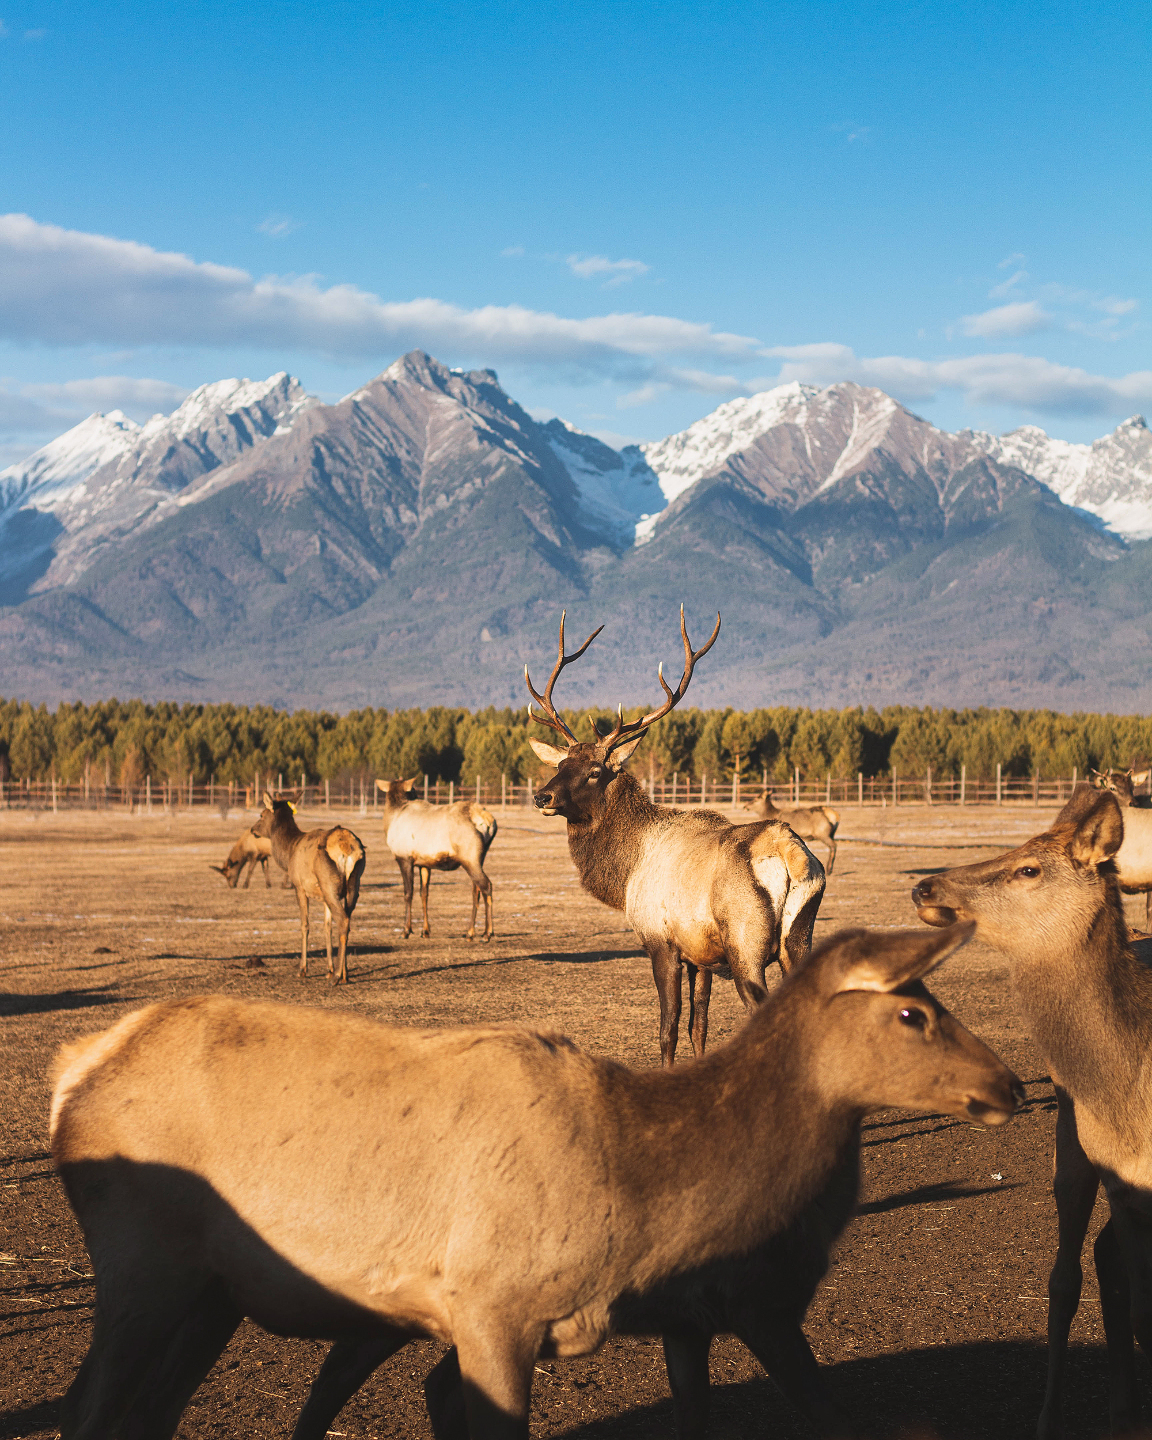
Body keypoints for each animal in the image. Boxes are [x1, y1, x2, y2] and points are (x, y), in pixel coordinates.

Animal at [252, 794, 364, 984]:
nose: (253, 829)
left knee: (343, 920)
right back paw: (344, 974)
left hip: (328, 882)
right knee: (347, 919)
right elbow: (327, 927)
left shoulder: (299, 886)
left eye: (261, 814)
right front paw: (329, 969)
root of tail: (347, 848)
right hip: (352, 885)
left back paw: (336, 977)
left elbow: (305, 925)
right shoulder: (323, 895)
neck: (288, 851)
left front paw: (302, 969)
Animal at [374, 783, 498, 938]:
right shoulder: (424, 864)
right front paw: (425, 931)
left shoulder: (404, 858)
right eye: (413, 791)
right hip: (479, 858)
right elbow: (424, 894)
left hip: (469, 859)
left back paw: (487, 933)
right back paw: (470, 932)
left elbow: (408, 893)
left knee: (486, 885)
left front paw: (406, 930)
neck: (391, 818)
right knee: (476, 890)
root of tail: (489, 822)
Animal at [527, 607, 823, 1071]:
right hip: (800, 938)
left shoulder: (660, 941)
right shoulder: (701, 955)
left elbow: (667, 1028)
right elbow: (697, 1026)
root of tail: (789, 851)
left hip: (747, 945)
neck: (626, 872)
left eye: (595, 770)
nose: (543, 796)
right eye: (560, 763)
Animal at [915, 789, 1152, 1440]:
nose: (923, 885)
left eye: (1028, 869)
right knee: (1070, 1274)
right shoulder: (1126, 1187)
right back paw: (1073, 1416)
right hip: (1072, 1144)